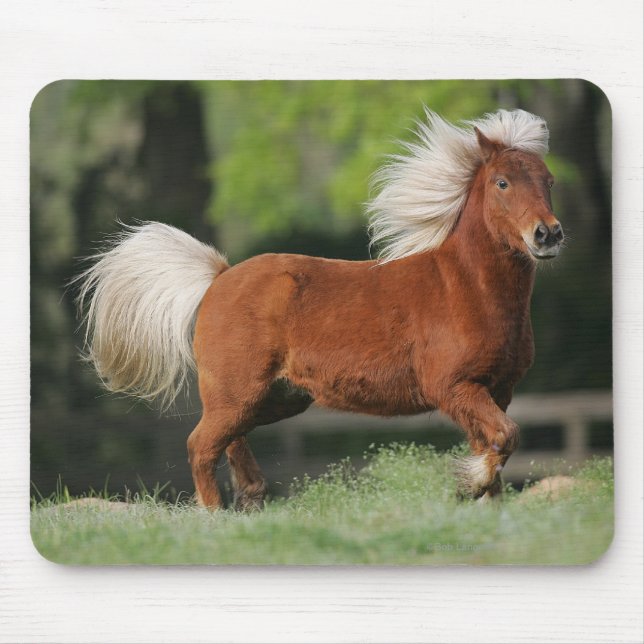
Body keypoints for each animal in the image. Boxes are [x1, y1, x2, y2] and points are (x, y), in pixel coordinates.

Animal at [74, 108, 564, 509]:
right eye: (502, 183)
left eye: (549, 181)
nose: (548, 234)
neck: (464, 289)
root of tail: (218, 277)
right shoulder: (454, 387)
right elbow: (504, 437)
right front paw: (468, 485)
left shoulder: (496, 390)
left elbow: (495, 444)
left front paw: (485, 503)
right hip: (238, 392)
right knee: (201, 445)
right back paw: (215, 515)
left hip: (275, 398)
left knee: (228, 439)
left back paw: (251, 497)